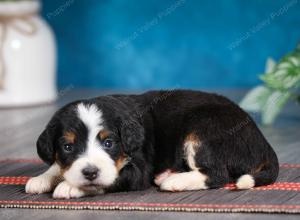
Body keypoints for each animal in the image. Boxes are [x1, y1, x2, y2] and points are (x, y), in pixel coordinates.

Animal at [25, 90, 278, 199]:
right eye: (68, 147)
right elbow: (58, 166)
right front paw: (42, 178)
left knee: (217, 174)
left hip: (203, 127)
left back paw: (173, 181)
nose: (89, 172)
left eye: (108, 143)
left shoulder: (138, 170)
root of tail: (263, 142)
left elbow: (111, 178)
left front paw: (70, 187)